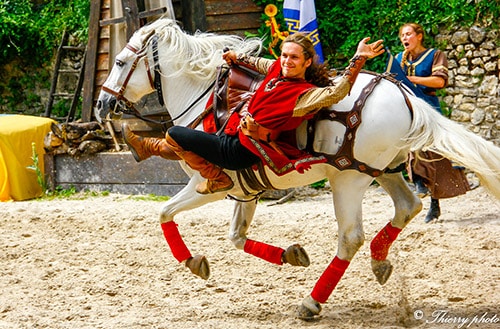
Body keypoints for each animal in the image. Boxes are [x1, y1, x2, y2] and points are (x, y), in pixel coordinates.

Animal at [94, 18, 500, 318]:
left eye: (119, 63)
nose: (100, 105)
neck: (208, 99)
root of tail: (407, 98)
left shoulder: (208, 186)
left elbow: (164, 213)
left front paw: (193, 261)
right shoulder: (247, 191)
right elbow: (236, 237)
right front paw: (291, 254)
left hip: (348, 179)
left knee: (351, 237)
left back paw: (312, 302)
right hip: (381, 171)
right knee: (408, 206)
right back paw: (380, 261)